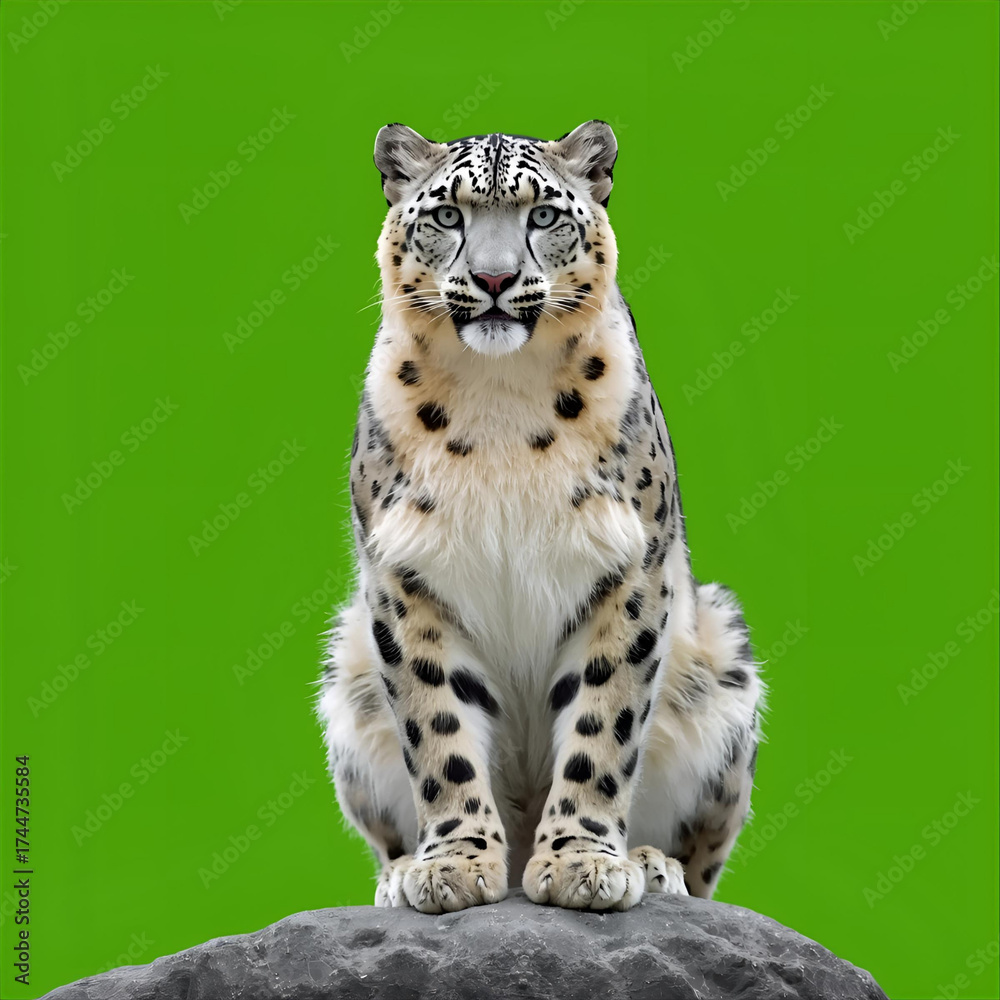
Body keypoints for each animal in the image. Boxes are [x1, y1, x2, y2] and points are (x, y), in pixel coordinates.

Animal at [316, 120, 764, 914]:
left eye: (544, 214)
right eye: (447, 214)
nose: (494, 280)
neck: (500, 396)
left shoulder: (629, 567)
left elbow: (603, 721)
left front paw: (583, 862)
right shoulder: (405, 577)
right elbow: (437, 725)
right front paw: (453, 865)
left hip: (724, 666)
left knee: (704, 858)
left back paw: (654, 865)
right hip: (349, 674)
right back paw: (399, 874)